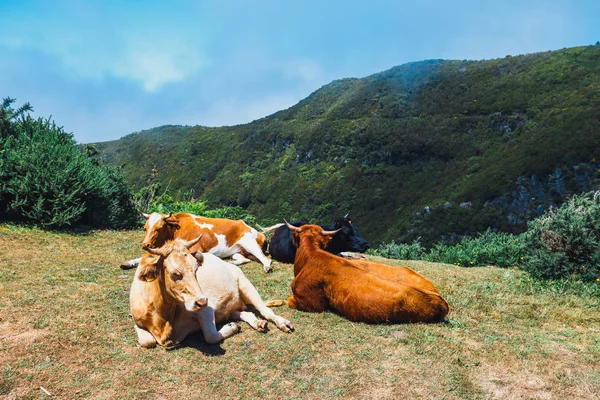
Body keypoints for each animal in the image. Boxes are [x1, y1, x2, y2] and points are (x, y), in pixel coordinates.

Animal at [122, 212, 272, 272]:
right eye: (145, 228)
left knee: (265, 259)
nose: (145, 244)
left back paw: (267, 267)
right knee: (243, 259)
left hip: (249, 243)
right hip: (237, 251)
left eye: (158, 228)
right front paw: (128, 263)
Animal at [130, 238, 294, 346]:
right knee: (244, 313)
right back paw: (258, 323)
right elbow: (147, 341)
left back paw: (282, 323)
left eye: (196, 268)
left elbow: (211, 336)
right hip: (230, 307)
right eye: (174, 273)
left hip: (244, 282)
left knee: (264, 310)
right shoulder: (137, 321)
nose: (202, 301)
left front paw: (232, 327)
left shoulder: (206, 309)